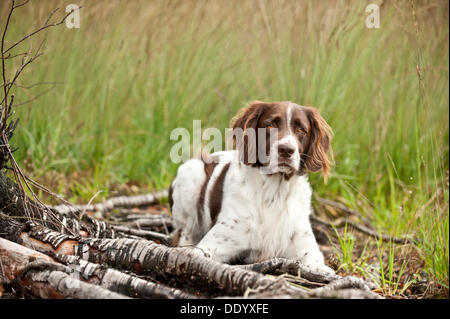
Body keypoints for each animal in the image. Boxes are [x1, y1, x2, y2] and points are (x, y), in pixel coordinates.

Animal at [169, 100, 334, 276]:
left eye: (300, 129)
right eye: (270, 125)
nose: (286, 150)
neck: (274, 193)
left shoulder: (304, 243)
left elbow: (317, 263)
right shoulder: (212, 243)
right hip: (192, 173)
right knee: (185, 231)